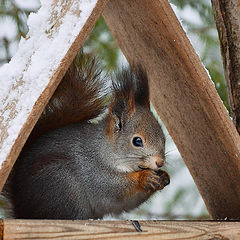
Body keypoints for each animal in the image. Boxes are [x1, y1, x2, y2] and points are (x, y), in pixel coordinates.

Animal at [4, 52, 170, 219]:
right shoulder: (94, 172)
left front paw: (164, 177)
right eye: (137, 141)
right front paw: (145, 177)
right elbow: (115, 189)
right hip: (62, 185)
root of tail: (21, 209)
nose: (160, 162)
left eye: (163, 137)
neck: (104, 150)